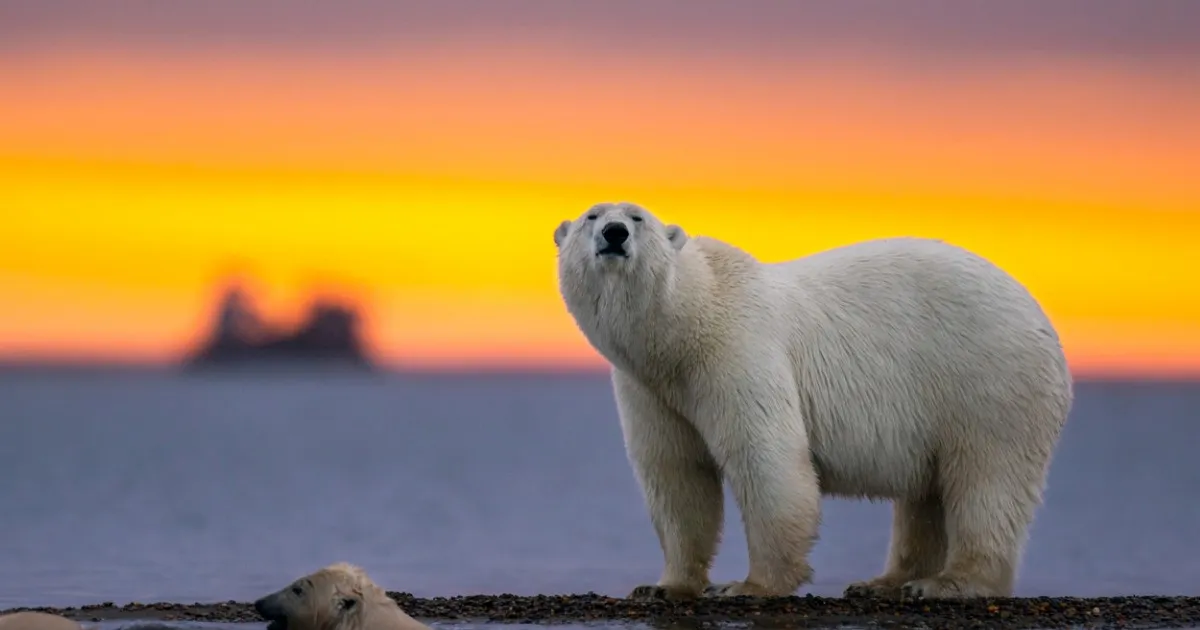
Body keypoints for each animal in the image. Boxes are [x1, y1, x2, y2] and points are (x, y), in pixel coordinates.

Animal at [549, 201, 1070, 600]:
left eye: (637, 217)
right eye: (592, 215)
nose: (614, 233)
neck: (685, 326)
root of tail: (1043, 320)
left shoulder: (738, 351)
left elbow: (767, 459)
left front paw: (749, 586)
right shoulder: (651, 390)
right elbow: (677, 474)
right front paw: (665, 586)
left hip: (988, 380)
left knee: (986, 480)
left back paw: (947, 583)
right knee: (926, 495)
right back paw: (885, 582)